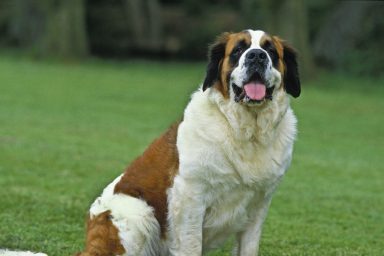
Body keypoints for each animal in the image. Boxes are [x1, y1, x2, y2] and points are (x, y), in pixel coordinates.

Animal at [76, 29, 302, 256]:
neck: (246, 131)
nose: (257, 56)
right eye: (238, 50)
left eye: (271, 51)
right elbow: (191, 245)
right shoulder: (189, 197)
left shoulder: (259, 204)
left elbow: (249, 246)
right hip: (139, 213)